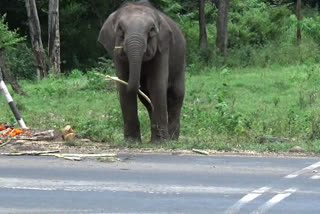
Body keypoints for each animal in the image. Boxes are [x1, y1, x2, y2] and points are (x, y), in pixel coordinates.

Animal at [99, 0, 186, 143]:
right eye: (120, 29)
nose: (139, 82)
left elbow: (157, 85)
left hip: (180, 61)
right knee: (147, 101)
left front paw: (160, 143)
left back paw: (172, 139)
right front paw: (132, 142)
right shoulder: (116, 53)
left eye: (151, 30)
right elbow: (123, 87)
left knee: (176, 95)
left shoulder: (163, 48)